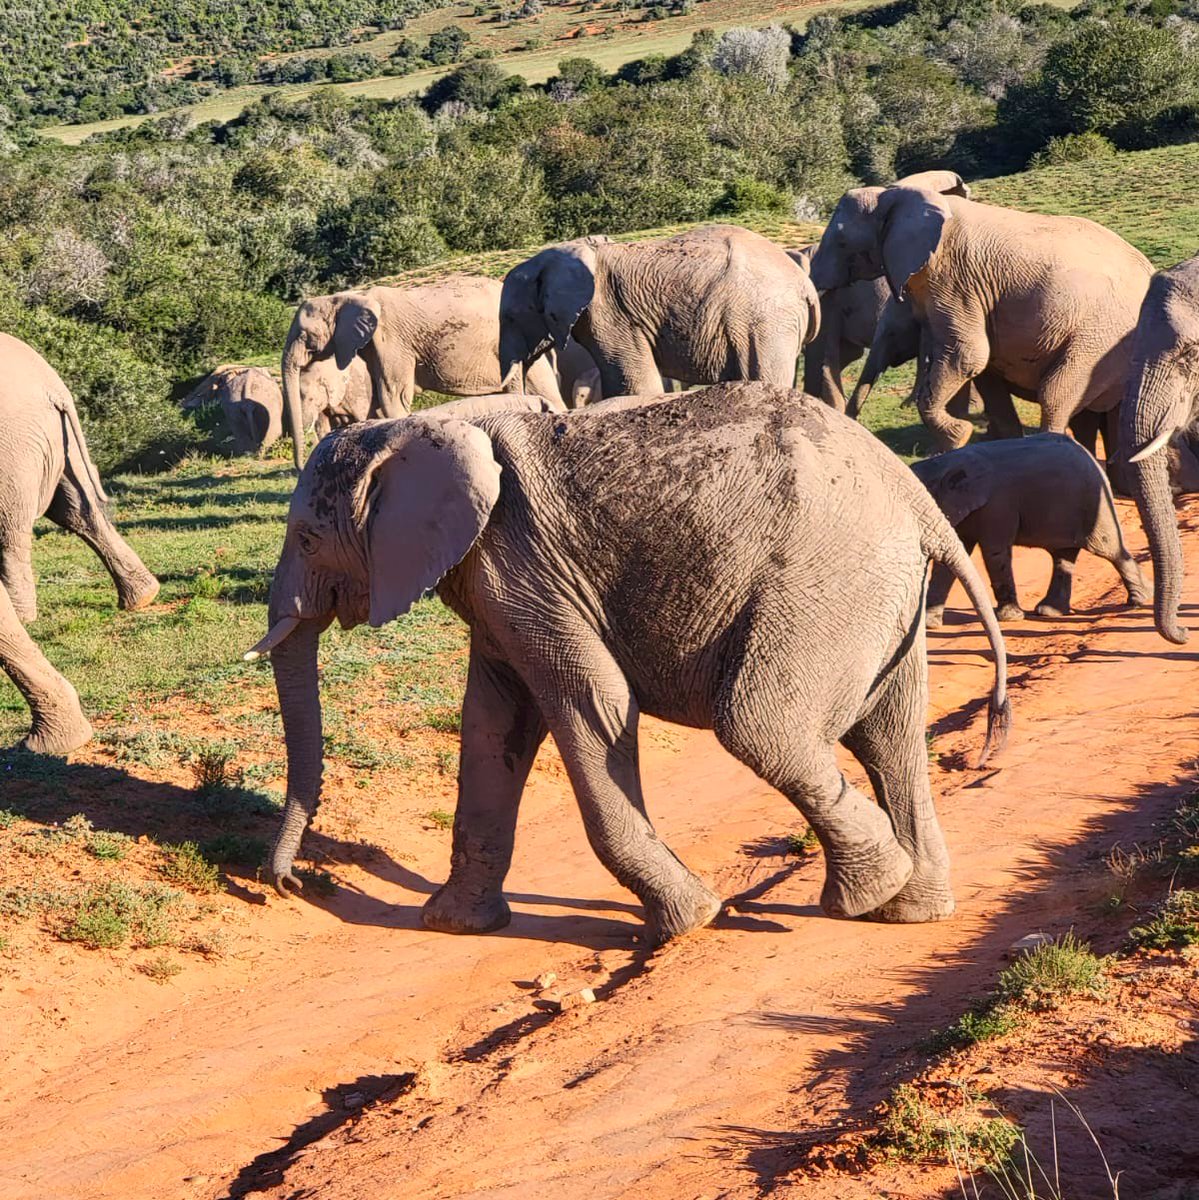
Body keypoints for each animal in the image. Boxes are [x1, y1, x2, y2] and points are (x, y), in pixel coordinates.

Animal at [0, 332, 159, 627]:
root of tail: (53, 387)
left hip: (14, 446)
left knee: (12, 527)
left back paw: (22, 618)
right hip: (58, 441)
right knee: (78, 508)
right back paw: (143, 597)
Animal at [247, 383, 1010, 947]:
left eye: (307, 538)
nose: (290, 885)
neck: (421, 425)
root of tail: (913, 497)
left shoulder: (517, 561)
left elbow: (589, 702)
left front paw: (688, 923)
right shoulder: (495, 580)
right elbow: (493, 723)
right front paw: (452, 925)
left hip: (824, 583)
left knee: (760, 728)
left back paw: (866, 895)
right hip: (875, 594)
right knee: (890, 736)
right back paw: (907, 910)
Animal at [281, 276, 566, 469]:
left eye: (304, 335)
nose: (301, 467)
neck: (351, 296)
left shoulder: (391, 340)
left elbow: (392, 398)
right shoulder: (373, 347)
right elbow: (378, 401)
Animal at [810, 175, 1154, 451]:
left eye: (841, 242)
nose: (853, 425)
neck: (896, 197)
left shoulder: (952, 278)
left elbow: (967, 357)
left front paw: (958, 437)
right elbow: (984, 367)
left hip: (1099, 337)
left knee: (1055, 394)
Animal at [912, 434, 1148, 626]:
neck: (946, 463)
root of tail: (1090, 456)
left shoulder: (997, 504)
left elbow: (995, 552)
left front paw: (1010, 618)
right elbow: (951, 559)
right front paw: (931, 624)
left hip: (1094, 505)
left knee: (1110, 550)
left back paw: (1139, 601)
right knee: (1063, 557)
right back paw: (1049, 612)